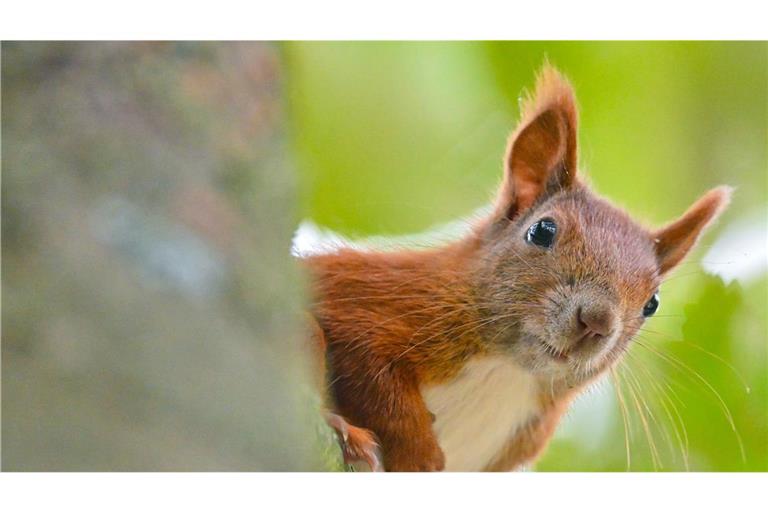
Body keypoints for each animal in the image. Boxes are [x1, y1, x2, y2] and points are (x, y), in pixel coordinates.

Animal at [301, 65, 731, 471]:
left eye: (652, 303)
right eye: (542, 231)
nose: (596, 321)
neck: (508, 371)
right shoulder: (373, 298)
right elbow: (375, 375)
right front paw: (419, 454)